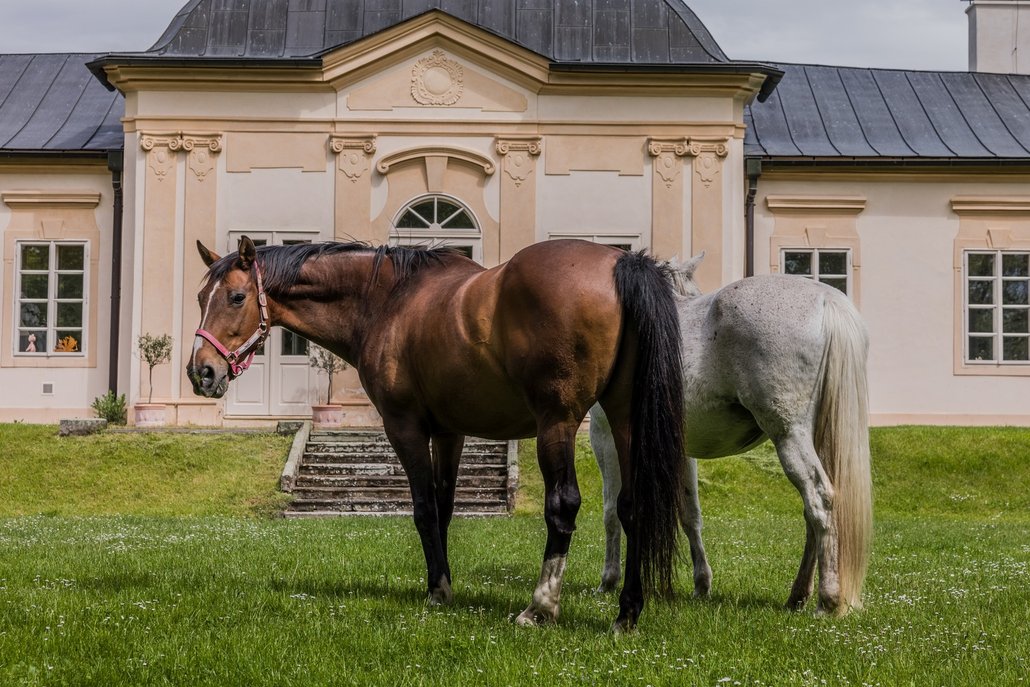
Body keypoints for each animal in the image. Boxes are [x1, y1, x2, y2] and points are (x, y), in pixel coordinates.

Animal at [187, 237, 683, 634]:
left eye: (236, 297)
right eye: (199, 297)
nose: (201, 372)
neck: (387, 301)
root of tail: (620, 263)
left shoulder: (404, 427)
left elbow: (424, 510)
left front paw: (436, 591)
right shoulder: (449, 433)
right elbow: (444, 509)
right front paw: (444, 582)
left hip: (557, 423)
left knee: (562, 507)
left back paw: (540, 607)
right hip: (624, 419)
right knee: (633, 506)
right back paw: (627, 613)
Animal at [593, 255, 873, 613]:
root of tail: (827, 298)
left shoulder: (606, 439)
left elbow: (612, 511)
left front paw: (608, 580)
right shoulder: (681, 451)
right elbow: (690, 514)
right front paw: (701, 584)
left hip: (789, 436)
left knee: (819, 500)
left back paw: (828, 599)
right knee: (813, 512)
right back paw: (798, 595)